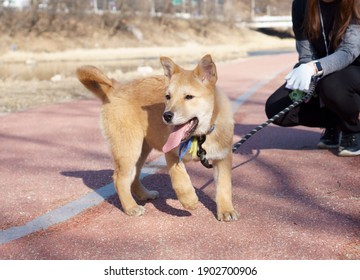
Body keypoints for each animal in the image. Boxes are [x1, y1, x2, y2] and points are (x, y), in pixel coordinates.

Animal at [76, 54, 238, 221]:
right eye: (168, 96)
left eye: (189, 97)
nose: (166, 116)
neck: (199, 138)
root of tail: (114, 87)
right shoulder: (172, 153)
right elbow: (180, 178)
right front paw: (189, 200)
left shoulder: (223, 158)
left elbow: (224, 186)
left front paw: (226, 210)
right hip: (129, 148)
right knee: (120, 178)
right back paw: (131, 207)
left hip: (142, 149)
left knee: (134, 176)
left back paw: (144, 194)